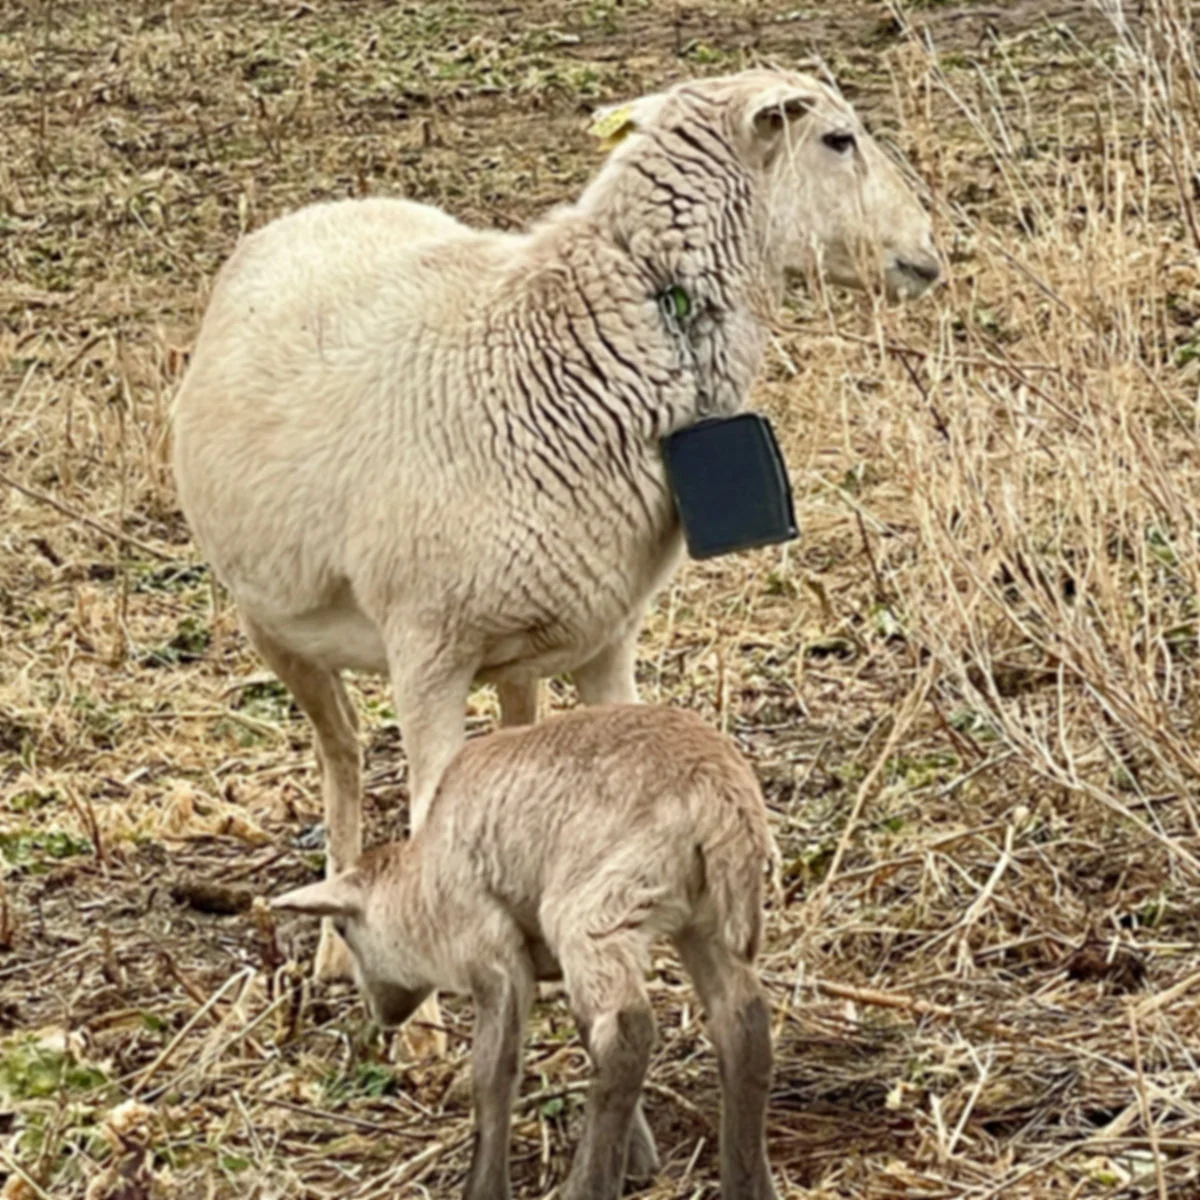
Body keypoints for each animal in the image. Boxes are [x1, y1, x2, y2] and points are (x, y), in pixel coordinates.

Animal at [171, 68, 939, 981]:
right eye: (837, 139)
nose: (929, 248)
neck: (570, 341)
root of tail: (316, 210)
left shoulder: (609, 636)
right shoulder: (425, 650)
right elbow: (428, 825)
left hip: (525, 635)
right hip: (274, 624)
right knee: (344, 753)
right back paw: (333, 946)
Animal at [271, 704, 780, 1200]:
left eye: (343, 928)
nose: (383, 1016)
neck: (423, 890)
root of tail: (720, 796)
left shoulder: (491, 950)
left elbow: (493, 1072)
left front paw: (483, 1188)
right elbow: (583, 1033)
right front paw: (638, 1159)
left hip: (595, 904)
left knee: (627, 1033)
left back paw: (586, 1187)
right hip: (705, 920)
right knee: (742, 1024)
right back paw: (747, 1184)